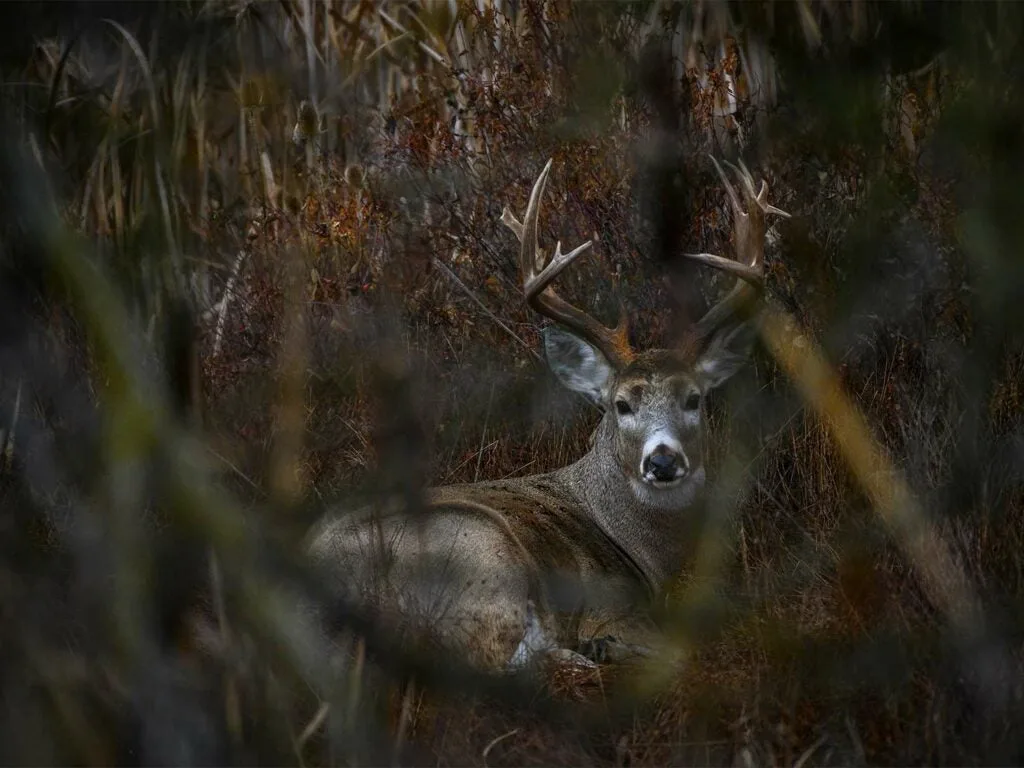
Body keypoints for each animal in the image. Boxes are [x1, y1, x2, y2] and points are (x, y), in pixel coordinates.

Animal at [305, 157, 790, 671]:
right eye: (621, 404)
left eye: (694, 399)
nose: (662, 462)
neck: (637, 543)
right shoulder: (608, 606)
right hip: (484, 556)